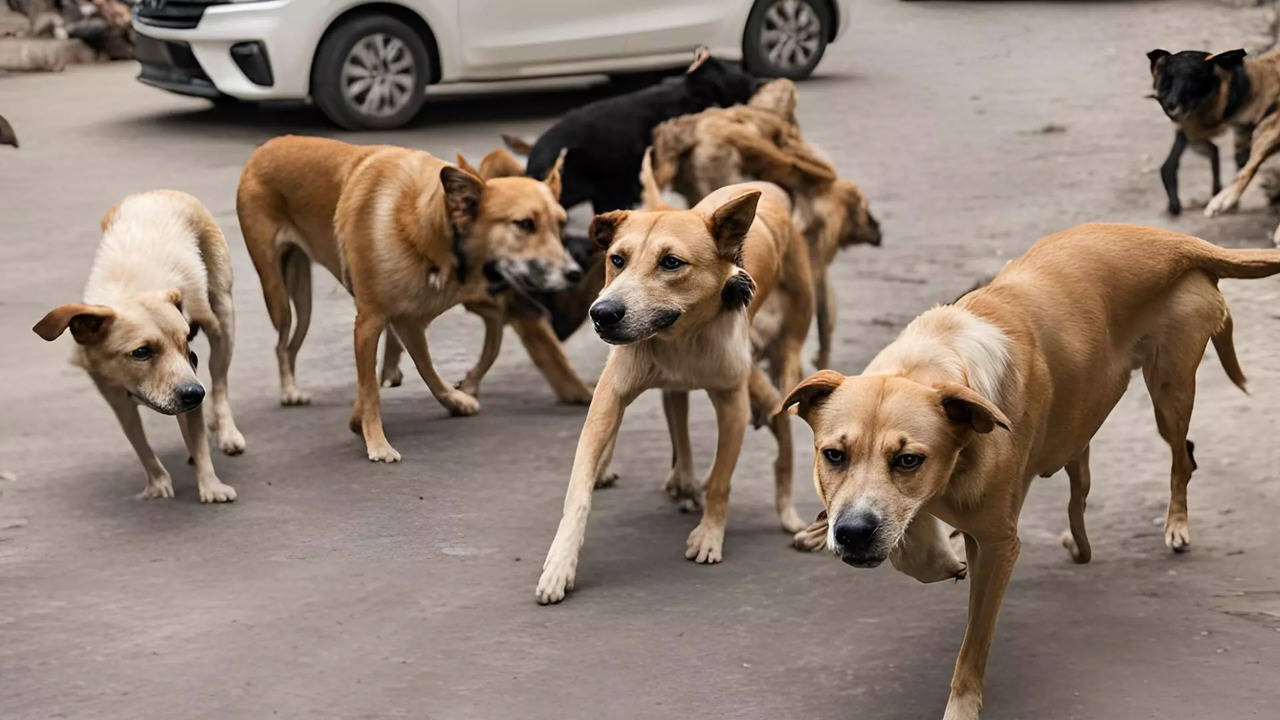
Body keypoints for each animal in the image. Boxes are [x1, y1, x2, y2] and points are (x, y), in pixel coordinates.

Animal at [34, 190, 241, 504]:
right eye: (141, 352)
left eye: (186, 346)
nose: (195, 393)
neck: (130, 293)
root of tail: (157, 192)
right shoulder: (115, 396)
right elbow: (139, 442)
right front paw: (157, 482)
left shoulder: (189, 379)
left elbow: (197, 437)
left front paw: (210, 485)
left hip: (222, 320)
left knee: (220, 382)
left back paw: (227, 431)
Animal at [238, 134, 578, 458]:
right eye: (524, 224)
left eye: (561, 224)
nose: (574, 273)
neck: (426, 224)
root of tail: (265, 148)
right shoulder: (369, 322)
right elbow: (370, 388)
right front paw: (376, 443)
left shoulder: (416, 320)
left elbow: (432, 367)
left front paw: (455, 399)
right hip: (279, 295)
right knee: (282, 344)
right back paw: (290, 390)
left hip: (304, 295)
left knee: (294, 344)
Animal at [778, 221, 1280, 712]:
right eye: (833, 455)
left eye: (909, 460)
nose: (853, 533)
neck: (933, 364)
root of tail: (1176, 243)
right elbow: (913, 541)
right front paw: (936, 554)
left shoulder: (998, 544)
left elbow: (974, 641)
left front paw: (962, 704)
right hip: (1084, 411)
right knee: (1082, 486)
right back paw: (1076, 542)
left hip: (1169, 389)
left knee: (1183, 457)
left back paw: (1175, 524)